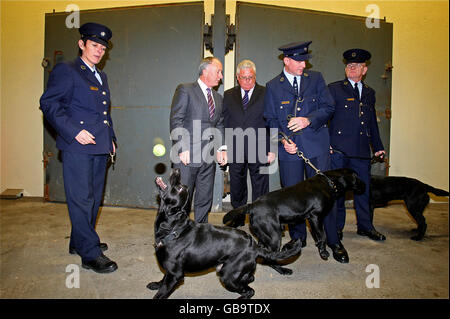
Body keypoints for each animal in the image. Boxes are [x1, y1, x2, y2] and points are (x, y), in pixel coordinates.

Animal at [149, 170, 302, 300]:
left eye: (180, 188)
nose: (177, 170)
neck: (174, 230)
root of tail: (254, 247)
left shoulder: (175, 275)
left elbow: (161, 293)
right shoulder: (169, 272)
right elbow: (163, 279)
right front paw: (156, 284)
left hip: (228, 275)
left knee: (250, 291)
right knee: (250, 279)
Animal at [223, 169, 364, 276]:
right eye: (356, 176)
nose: (365, 185)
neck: (328, 182)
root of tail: (252, 205)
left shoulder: (312, 219)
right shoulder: (315, 217)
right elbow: (322, 235)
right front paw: (323, 252)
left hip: (265, 235)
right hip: (274, 236)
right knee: (270, 257)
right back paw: (283, 270)